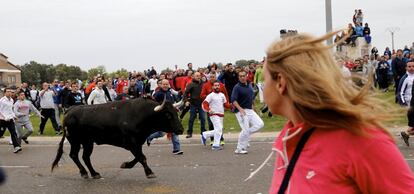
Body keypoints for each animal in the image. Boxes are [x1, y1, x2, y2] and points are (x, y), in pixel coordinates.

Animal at [50, 98, 183, 180]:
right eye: (168, 115)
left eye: (176, 113)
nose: (181, 129)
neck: (141, 115)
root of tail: (70, 110)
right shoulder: (132, 142)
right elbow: (142, 157)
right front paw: (149, 173)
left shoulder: (137, 143)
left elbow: (138, 157)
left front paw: (126, 165)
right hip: (75, 141)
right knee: (74, 155)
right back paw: (84, 173)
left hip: (88, 142)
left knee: (85, 157)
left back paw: (94, 173)